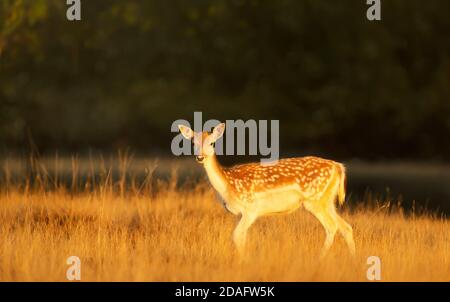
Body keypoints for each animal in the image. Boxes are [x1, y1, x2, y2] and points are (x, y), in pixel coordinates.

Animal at [178, 122, 356, 258]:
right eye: (193, 143)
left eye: (212, 143)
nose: (200, 157)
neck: (229, 185)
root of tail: (338, 167)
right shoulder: (240, 214)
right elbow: (242, 237)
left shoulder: (251, 209)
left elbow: (235, 236)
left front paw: (243, 261)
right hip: (327, 201)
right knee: (346, 227)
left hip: (314, 200)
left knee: (332, 227)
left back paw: (319, 258)